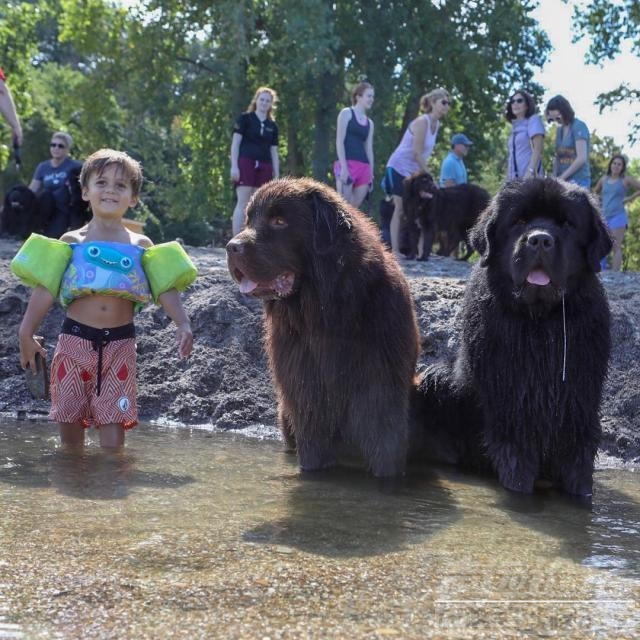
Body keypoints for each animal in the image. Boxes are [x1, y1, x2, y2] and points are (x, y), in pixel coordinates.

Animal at [226, 178, 420, 478]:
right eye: (248, 220)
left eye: (279, 221)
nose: (231, 246)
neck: (324, 312)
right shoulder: (305, 390)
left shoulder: (381, 388)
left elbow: (385, 448)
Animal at [412, 178, 612, 498]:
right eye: (519, 221)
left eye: (567, 223)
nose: (540, 240)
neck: (541, 323)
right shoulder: (511, 410)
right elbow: (516, 467)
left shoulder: (578, 407)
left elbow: (578, 468)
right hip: (438, 378)